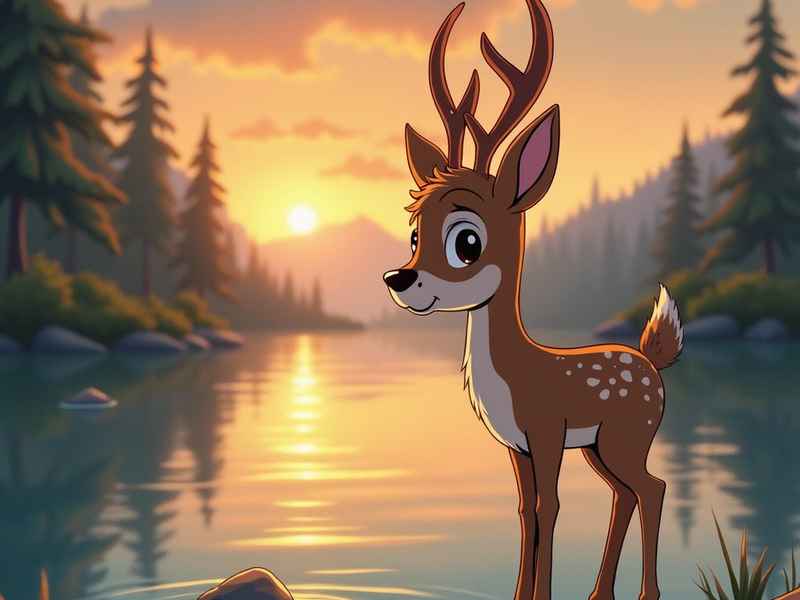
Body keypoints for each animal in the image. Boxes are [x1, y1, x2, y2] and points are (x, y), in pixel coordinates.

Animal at [382, 2, 684, 600]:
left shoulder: (546, 430)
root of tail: (652, 361)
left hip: (627, 434)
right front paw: (523, 592)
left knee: (653, 487)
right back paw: (599, 592)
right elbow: (525, 511)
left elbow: (552, 507)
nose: (398, 279)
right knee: (626, 493)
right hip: (599, 446)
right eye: (413, 234)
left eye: (467, 241)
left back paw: (646, 592)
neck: (516, 374)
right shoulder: (517, 446)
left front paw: (540, 592)